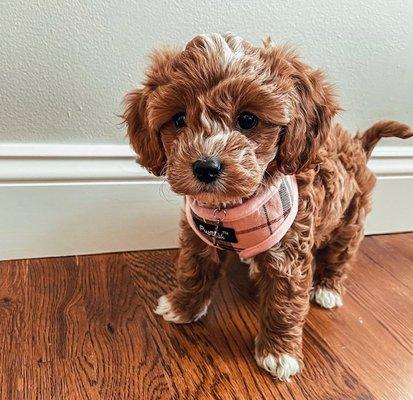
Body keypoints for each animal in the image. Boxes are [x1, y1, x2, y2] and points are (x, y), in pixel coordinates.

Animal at [123, 34, 412, 382]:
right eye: (178, 119)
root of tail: (357, 145)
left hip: (348, 220)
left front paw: (278, 352)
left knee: (340, 255)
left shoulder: (290, 252)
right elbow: (193, 269)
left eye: (248, 119)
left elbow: (283, 304)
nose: (206, 167)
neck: (229, 209)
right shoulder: (199, 237)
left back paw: (328, 288)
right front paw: (183, 306)